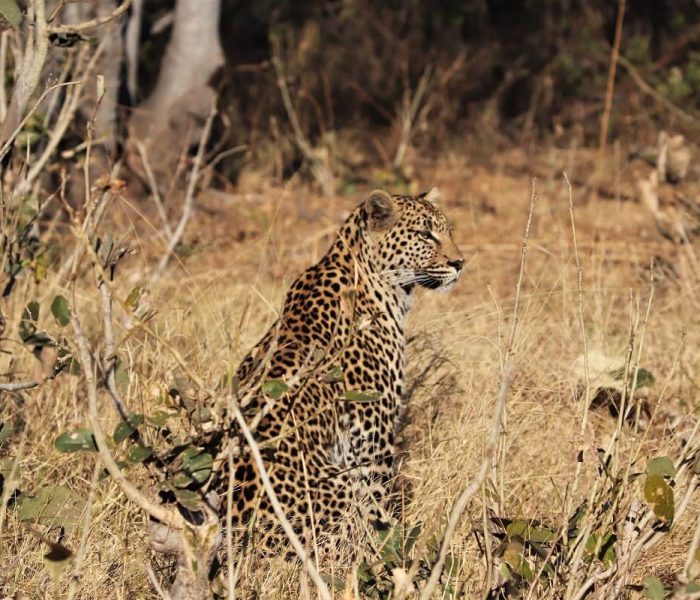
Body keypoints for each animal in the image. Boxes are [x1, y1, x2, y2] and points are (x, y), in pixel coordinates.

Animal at [210, 188, 464, 553]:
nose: (460, 263)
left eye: (448, 231)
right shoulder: (372, 438)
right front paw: (390, 549)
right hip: (338, 486)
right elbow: (378, 508)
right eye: (425, 234)